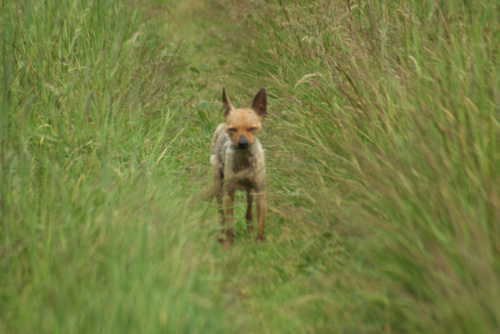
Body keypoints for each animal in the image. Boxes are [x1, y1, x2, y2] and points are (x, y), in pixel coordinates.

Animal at [210, 88, 268, 248]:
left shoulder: (260, 193)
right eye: (232, 130)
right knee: (222, 215)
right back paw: (221, 235)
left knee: (249, 212)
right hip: (219, 186)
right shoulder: (228, 194)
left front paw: (259, 243)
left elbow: (261, 223)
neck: (244, 162)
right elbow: (229, 224)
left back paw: (250, 231)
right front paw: (228, 244)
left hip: (250, 192)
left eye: (253, 129)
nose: (242, 143)